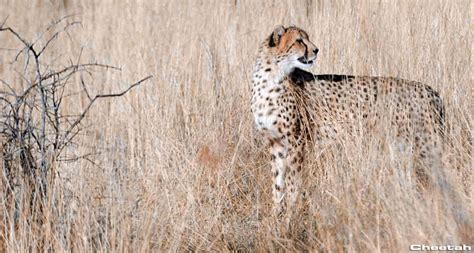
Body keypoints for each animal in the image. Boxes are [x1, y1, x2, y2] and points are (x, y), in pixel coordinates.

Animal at [250, 25, 446, 215]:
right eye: (299, 40)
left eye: (306, 38)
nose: (316, 50)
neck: (272, 75)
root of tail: (432, 91)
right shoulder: (276, 142)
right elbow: (277, 182)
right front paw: (276, 214)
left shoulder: (297, 141)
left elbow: (292, 181)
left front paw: (291, 213)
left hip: (427, 144)